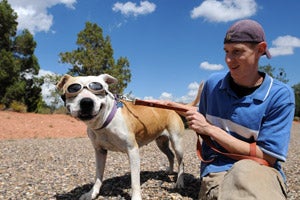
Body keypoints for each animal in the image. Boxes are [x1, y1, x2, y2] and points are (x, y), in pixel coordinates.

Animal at [57, 74, 196, 200]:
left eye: (98, 87)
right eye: (72, 88)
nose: (86, 102)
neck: (105, 122)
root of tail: (171, 108)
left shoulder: (132, 150)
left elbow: (135, 181)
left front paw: (136, 197)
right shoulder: (100, 152)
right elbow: (98, 176)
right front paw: (92, 193)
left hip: (177, 142)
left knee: (181, 161)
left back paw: (179, 182)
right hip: (161, 143)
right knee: (170, 155)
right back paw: (170, 171)